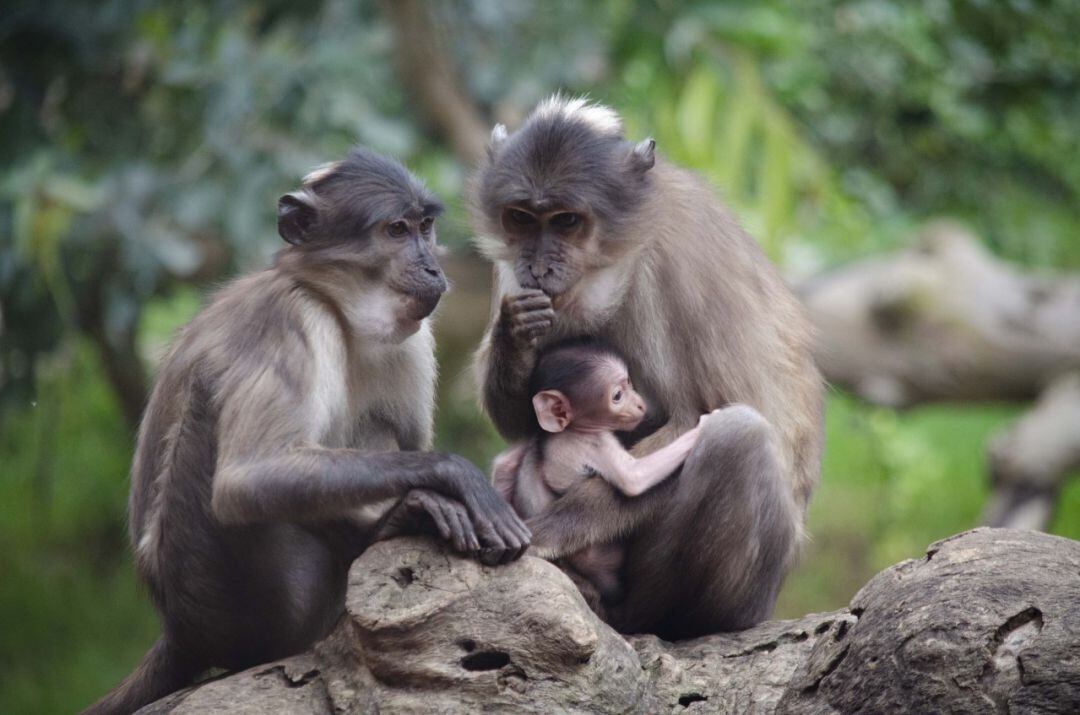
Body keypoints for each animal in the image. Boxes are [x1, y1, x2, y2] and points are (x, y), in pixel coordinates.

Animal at [86, 147, 529, 712]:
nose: (432, 266)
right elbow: (247, 481)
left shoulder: (411, 337)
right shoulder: (292, 317)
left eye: (424, 227)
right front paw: (455, 478)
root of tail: (180, 631)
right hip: (248, 598)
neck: (338, 310)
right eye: (395, 229)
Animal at [492, 341, 708, 604]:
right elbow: (632, 478)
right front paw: (703, 425)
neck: (571, 430)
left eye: (629, 383)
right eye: (617, 396)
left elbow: (505, 464)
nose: (639, 403)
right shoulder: (596, 442)